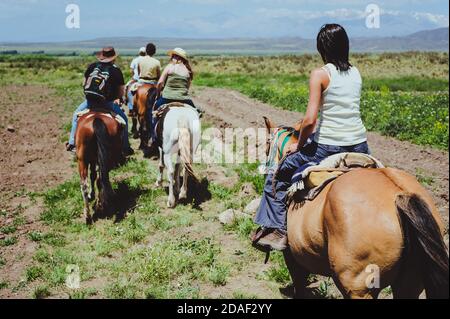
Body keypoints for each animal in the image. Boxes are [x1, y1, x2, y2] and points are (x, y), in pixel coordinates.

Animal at [262, 117, 448, 300]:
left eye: (266, 145)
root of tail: (399, 196)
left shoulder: (293, 256)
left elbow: (299, 285)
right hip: (410, 283)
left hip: (357, 286)